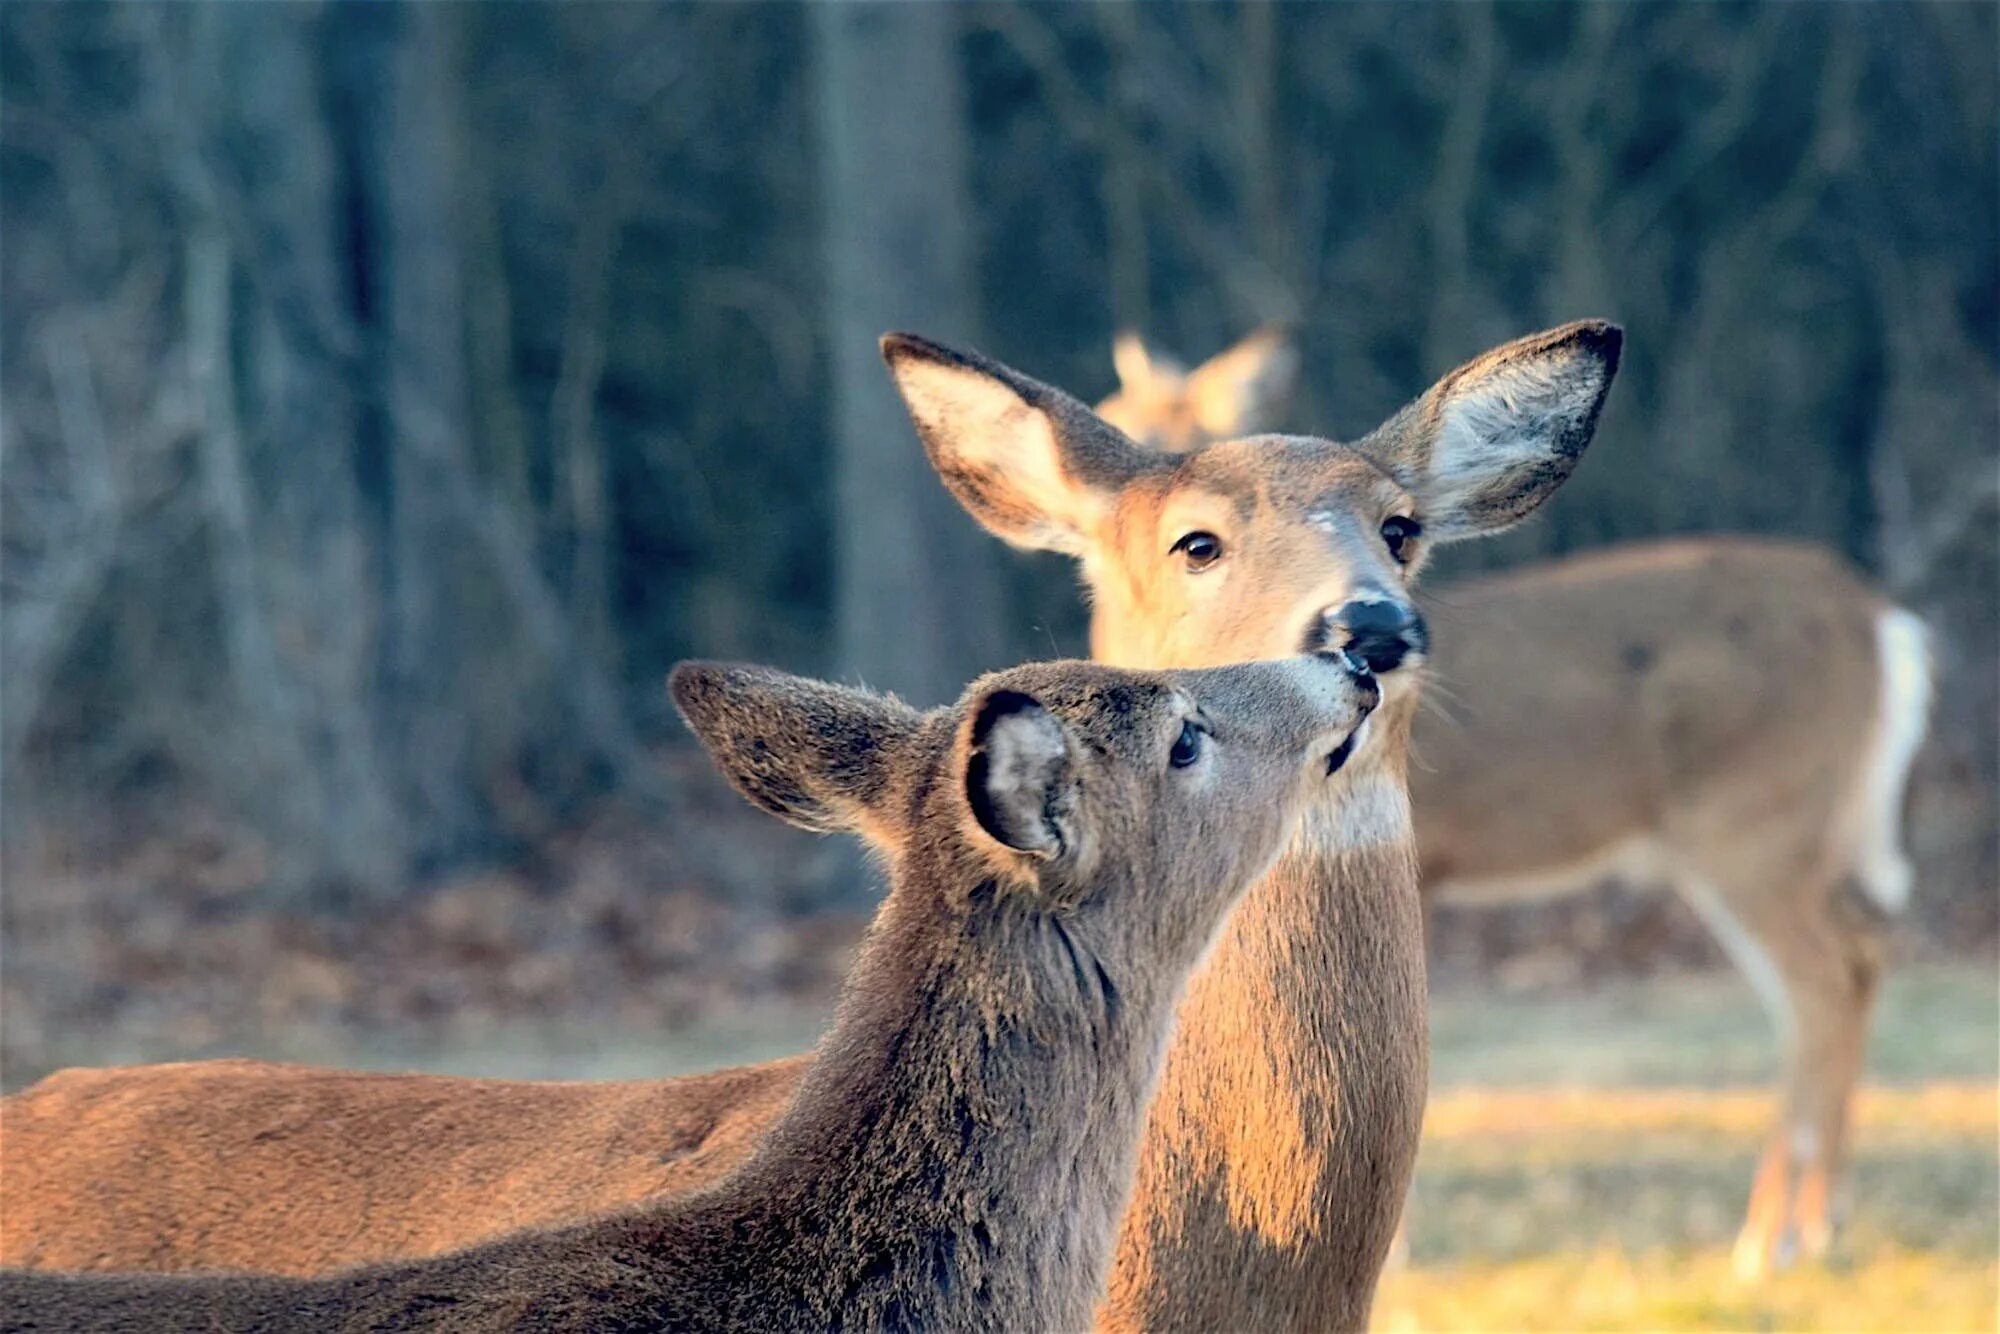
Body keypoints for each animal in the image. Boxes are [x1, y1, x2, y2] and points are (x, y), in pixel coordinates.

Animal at [1096, 328, 1936, 1280]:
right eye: (1120, 415)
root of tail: (1885, 621)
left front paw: (1397, 1251)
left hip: (1758, 826)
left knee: (1824, 982)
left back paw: (1771, 1239)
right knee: (1857, 963)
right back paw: (1817, 1221)